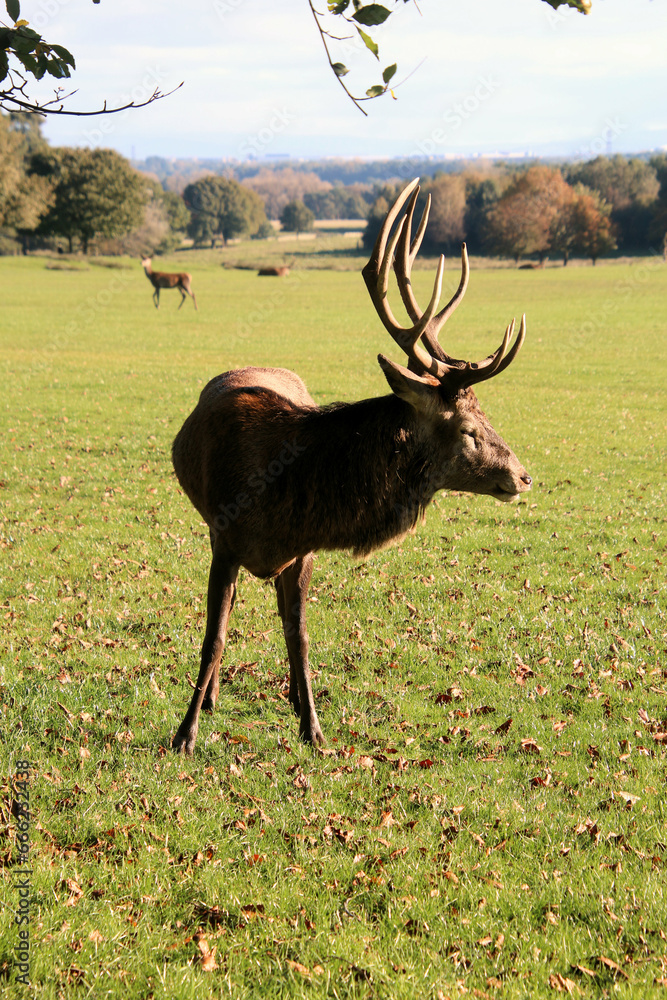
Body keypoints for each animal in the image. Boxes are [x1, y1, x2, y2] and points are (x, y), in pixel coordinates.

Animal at [170, 178, 531, 755]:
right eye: (469, 430)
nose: (522, 475)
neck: (279, 502)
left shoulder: (303, 552)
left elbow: (299, 633)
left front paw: (313, 728)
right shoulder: (223, 538)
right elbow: (214, 634)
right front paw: (186, 733)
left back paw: (291, 698)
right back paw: (210, 699)